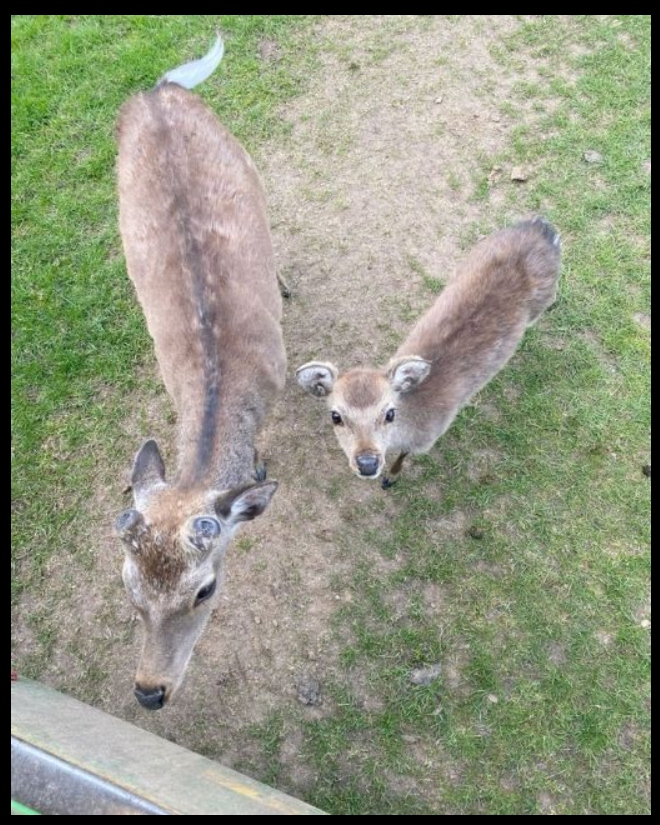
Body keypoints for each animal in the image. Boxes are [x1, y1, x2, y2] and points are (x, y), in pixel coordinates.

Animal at [297, 218, 561, 488]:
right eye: (335, 416)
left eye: (390, 413)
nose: (367, 463)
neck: (415, 421)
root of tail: (541, 226)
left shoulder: (429, 438)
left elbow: (405, 455)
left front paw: (391, 478)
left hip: (545, 296)